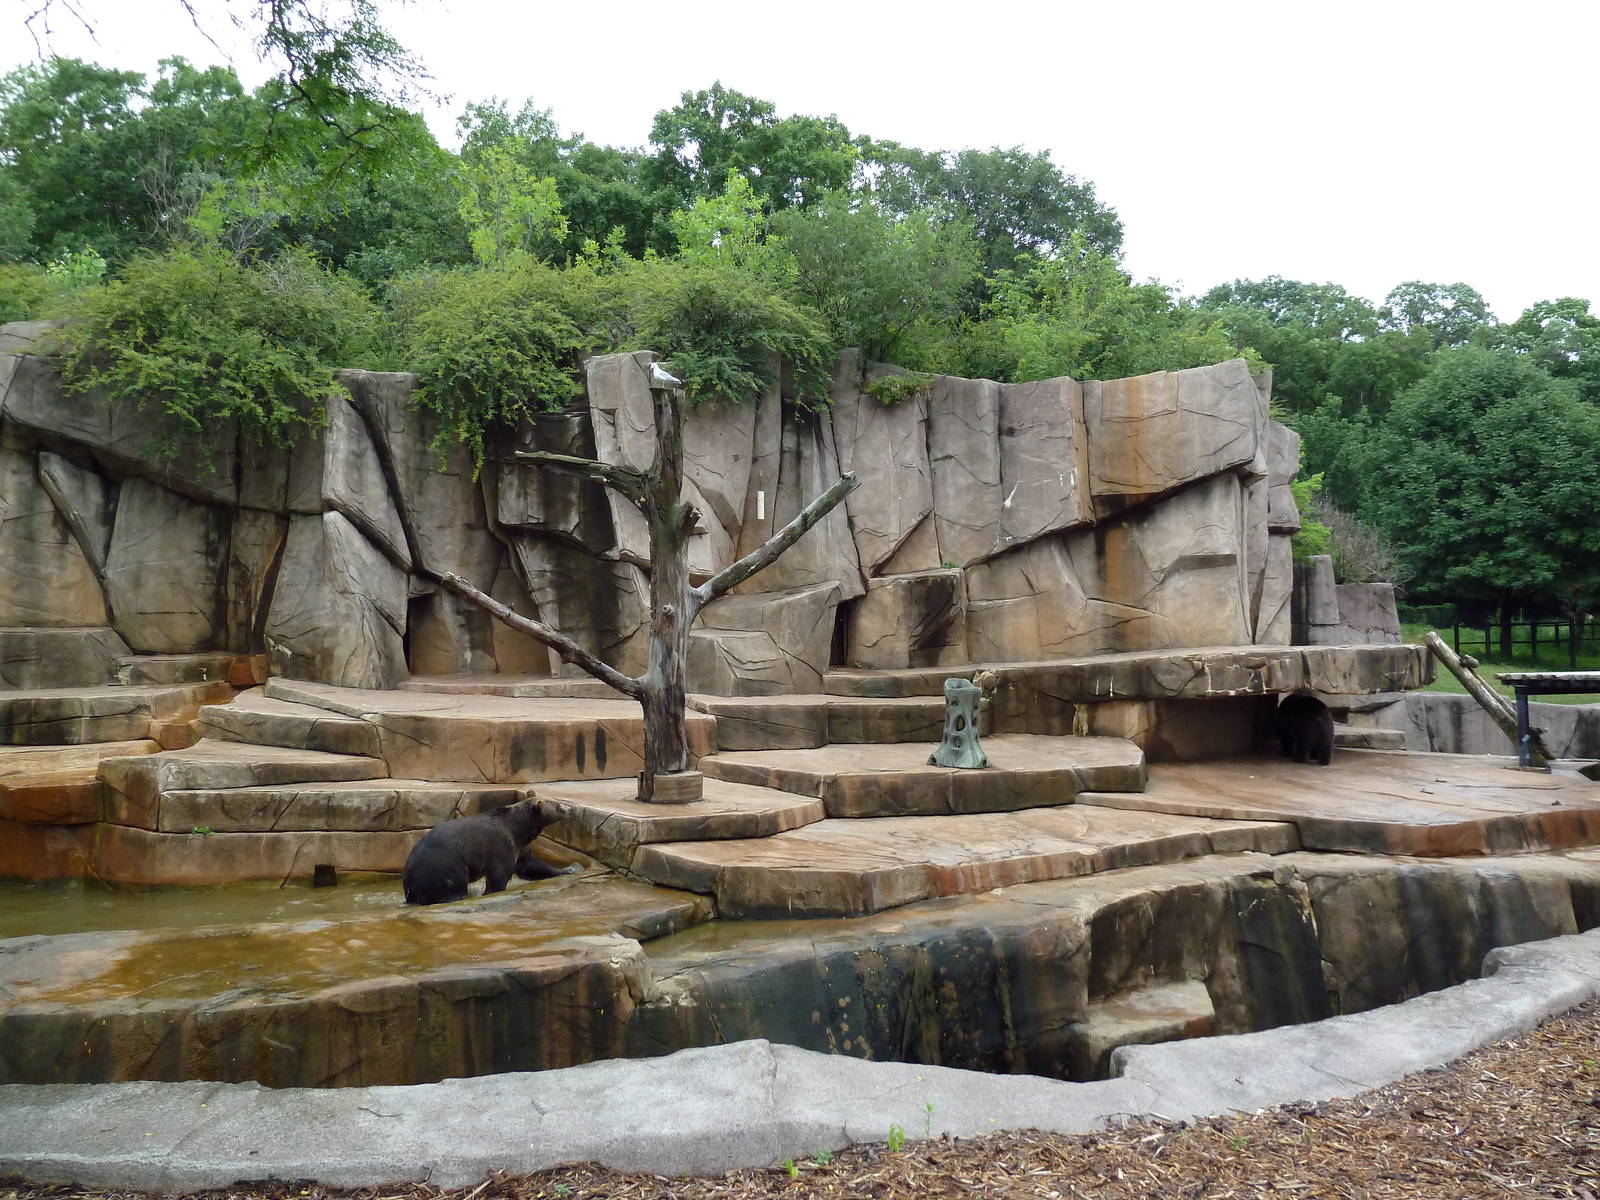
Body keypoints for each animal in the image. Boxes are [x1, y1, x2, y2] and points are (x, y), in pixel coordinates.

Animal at [402, 797, 578, 905]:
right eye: (558, 806)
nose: (571, 809)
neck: (519, 830)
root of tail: (410, 873)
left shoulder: (520, 847)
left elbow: (531, 866)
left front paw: (569, 869)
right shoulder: (499, 845)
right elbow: (499, 876)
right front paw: (490, 892)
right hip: (444, 865)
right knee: (453, 885)